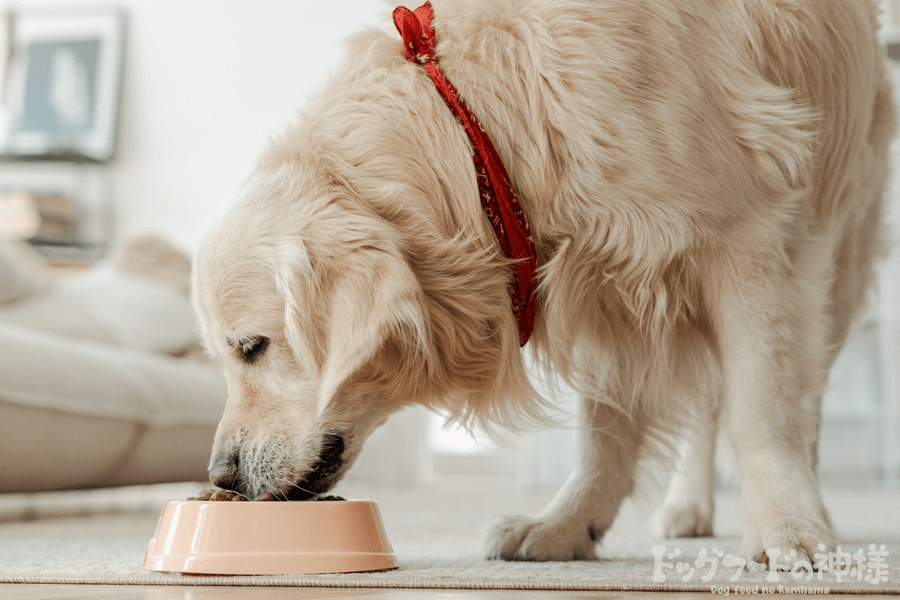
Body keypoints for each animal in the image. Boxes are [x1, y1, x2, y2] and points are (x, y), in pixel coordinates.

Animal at [192, 0, 892, 568]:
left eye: (253, 347)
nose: (220, 475)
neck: (480, 130)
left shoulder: (749, 239)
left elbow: (761, 411)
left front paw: (788, 530)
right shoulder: (611, 282)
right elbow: (604, 433)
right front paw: (566, 526)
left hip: (838, 250)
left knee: (794, 395)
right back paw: (688, 507)